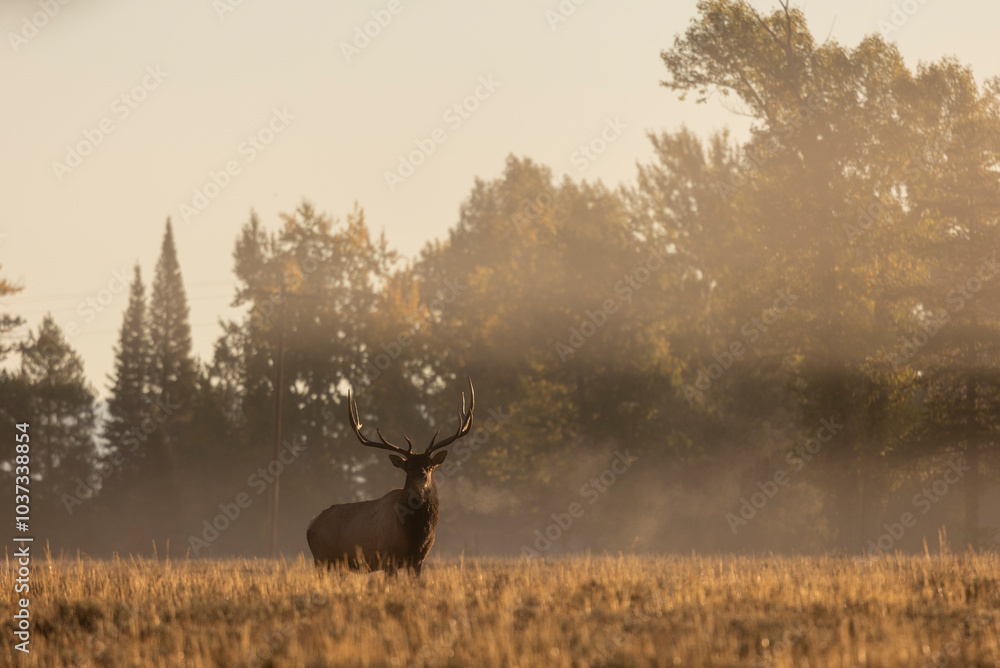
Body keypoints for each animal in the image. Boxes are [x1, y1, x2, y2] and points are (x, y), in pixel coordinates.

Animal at [306, 377, 474, 575]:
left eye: (429, 466)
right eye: (408, 467)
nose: (421, 476)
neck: (416, 536)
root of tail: (310, 526)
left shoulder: (419, 560)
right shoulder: (388, 557)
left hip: (340, 566)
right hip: (321, 559)